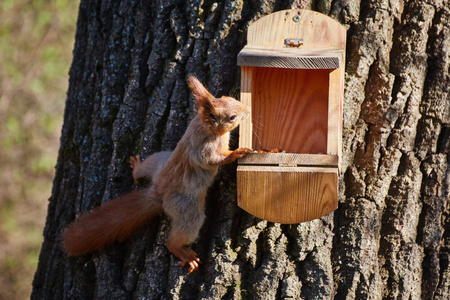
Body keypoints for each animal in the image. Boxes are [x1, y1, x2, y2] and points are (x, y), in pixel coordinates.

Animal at [62, 76, 253, 274]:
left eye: (229, 98)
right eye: (232, 117)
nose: (248, 110)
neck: (204, 125)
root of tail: (158, 191)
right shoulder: (203, 148)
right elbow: (211, 159)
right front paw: (236, 153)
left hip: (158, 159)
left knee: (142, 170)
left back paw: (136, 167)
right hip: (186, 208)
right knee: (178, 236)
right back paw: (183, 253)